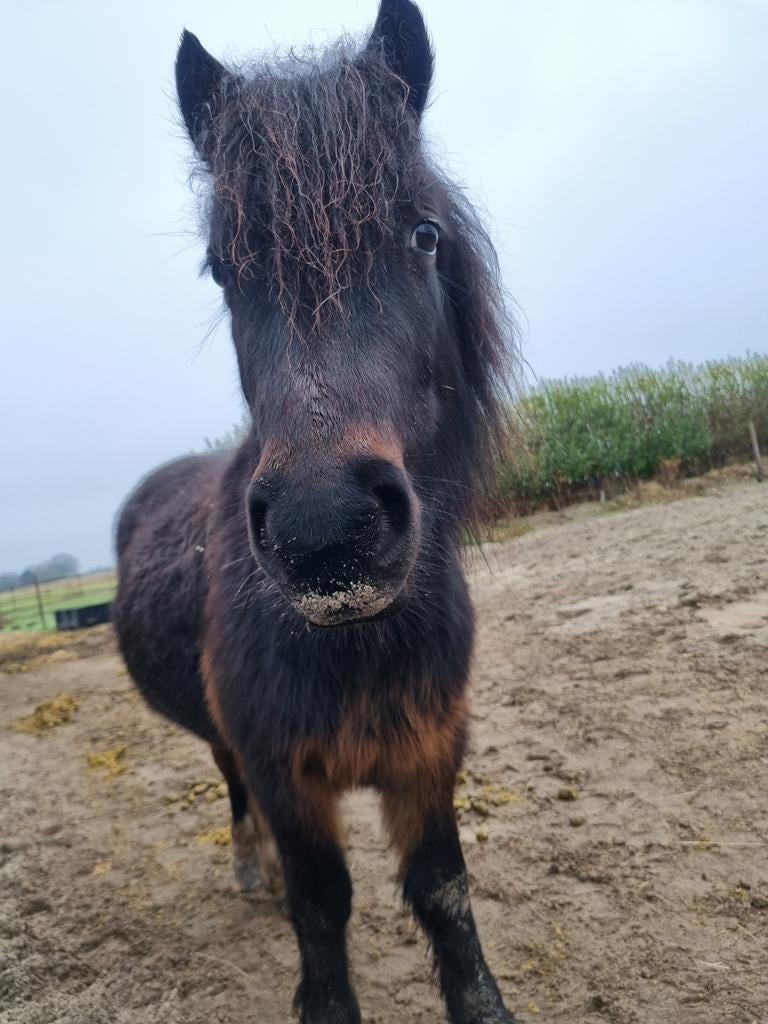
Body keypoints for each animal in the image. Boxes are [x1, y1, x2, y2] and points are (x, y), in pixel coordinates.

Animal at [114, 2, 517, 1021]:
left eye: (423, 236)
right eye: (222, 269)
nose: (325, 531)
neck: (358, 640)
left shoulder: (429, 754)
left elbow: (444, 891)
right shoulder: (287, 774)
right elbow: (322, 904)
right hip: (231, 746)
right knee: (232, 795)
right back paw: (248, 871)